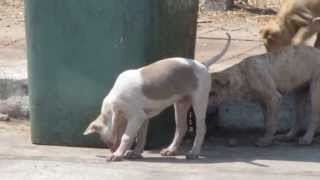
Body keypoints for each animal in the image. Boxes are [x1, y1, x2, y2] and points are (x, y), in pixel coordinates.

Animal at [84, 32, 231, 162]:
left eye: (106, 141)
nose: (112, 150)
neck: (115, 107)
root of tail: (203, 64)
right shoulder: (143, 117)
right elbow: (141, 136)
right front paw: (136, 153)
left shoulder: (137, 116)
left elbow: (127, 136)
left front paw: (117, 155)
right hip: (181, 103)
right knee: (181, 127)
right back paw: (171, 150)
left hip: (199, 100)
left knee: (201, 128)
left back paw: (194, 152)